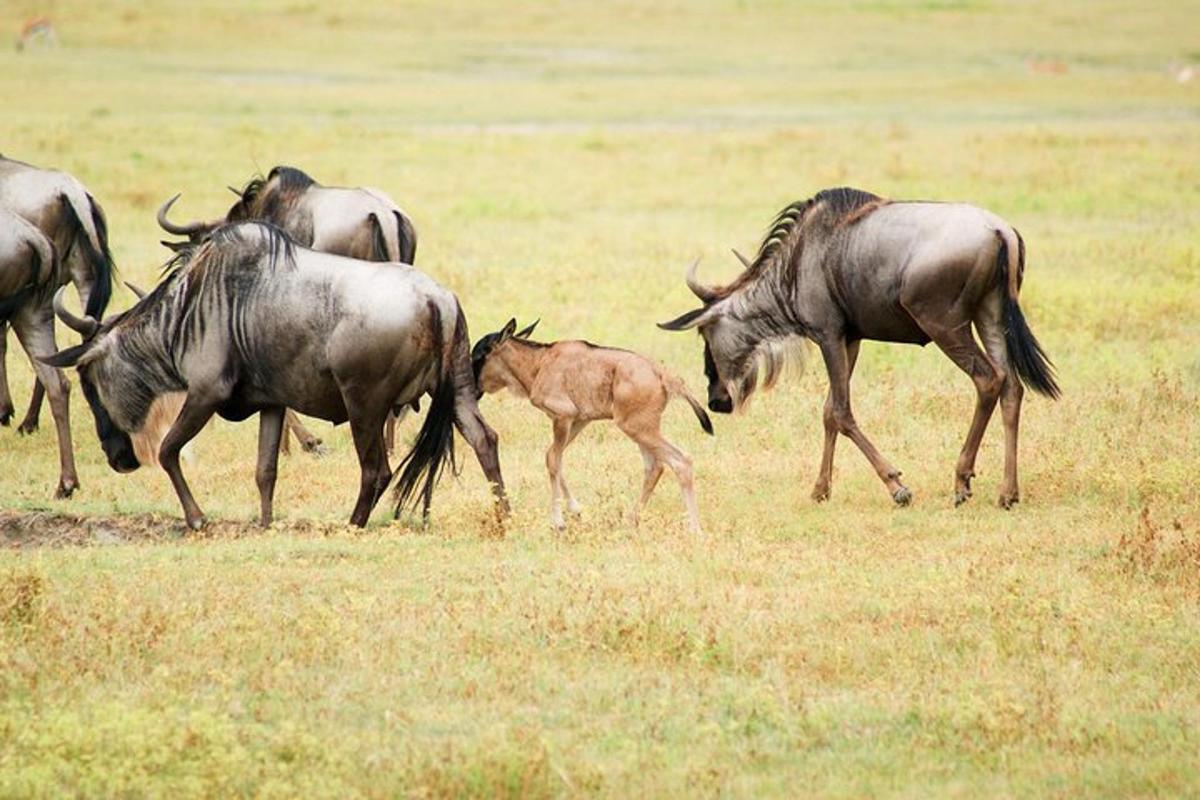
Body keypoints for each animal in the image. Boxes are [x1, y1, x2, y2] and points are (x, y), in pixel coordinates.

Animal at [470, 321, 710, 534]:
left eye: (478, 356)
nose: (473, 392)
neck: (539, 363)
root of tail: (663, 374)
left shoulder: (562, 417)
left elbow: (553, 460)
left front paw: (558, 522)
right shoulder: (579, 420)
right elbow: (552, 457)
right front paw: (576, 510)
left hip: (638, 428)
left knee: (681, 461)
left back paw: (694, 529)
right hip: (642, 430)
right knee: (655, 467)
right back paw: (632, 520)